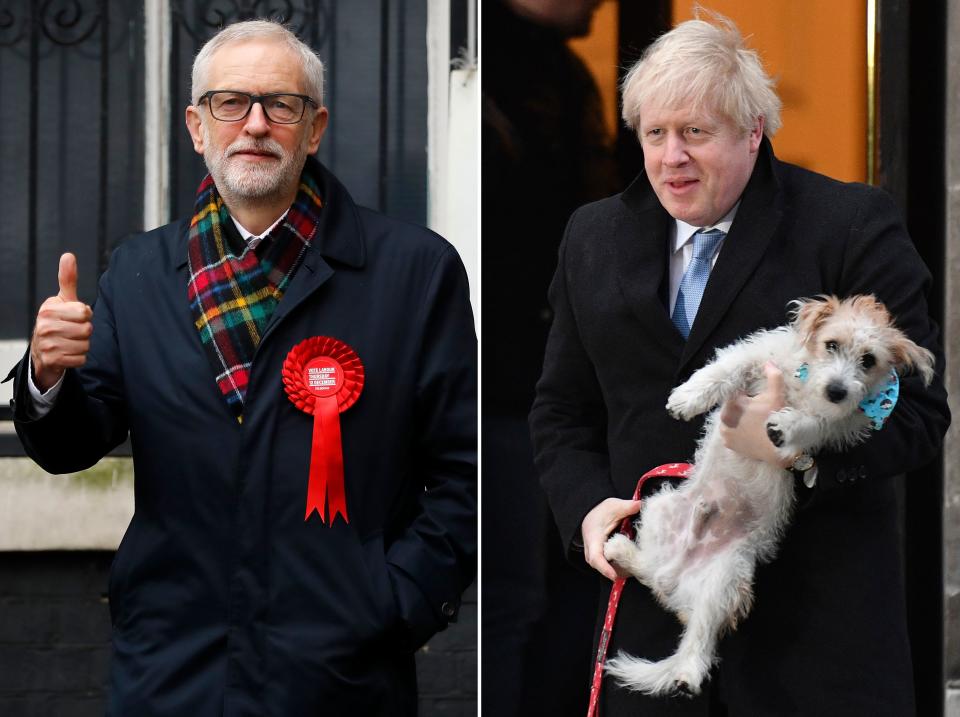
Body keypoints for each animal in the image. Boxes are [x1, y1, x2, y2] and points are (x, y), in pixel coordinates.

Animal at [608, 294, 928, 696]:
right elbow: (726, 368)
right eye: (831, 344)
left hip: (725, 578)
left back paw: (687, 673)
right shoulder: (760, 354)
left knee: (700, 637)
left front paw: (787, 426)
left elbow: (816, 422)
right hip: (661, 508)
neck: (806, 383)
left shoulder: (845, 421)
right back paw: (622, 550)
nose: (836, 390)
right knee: (651, 570)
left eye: (869, 360)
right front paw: (689, 397)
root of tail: (675, 582)